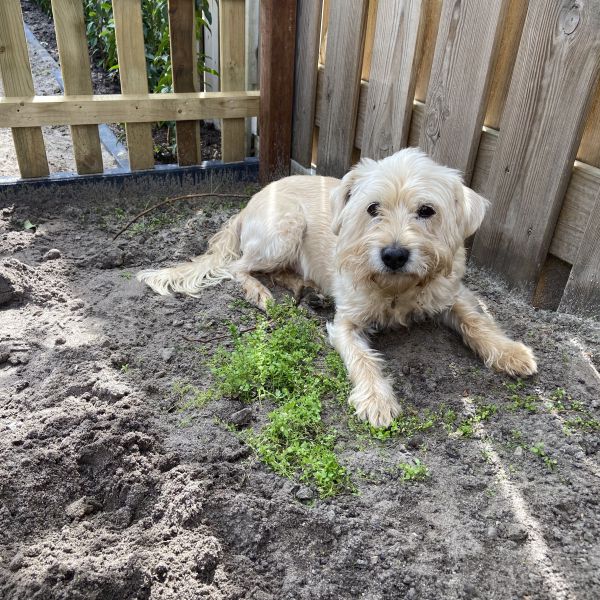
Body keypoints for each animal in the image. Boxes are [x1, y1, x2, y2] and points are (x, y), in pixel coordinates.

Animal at [137, 148, 540, 424]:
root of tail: (250, 202)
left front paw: (510, 352)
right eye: (373, 208)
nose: (394, 254)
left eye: (427, 210)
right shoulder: (346, 322)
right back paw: (260, 293)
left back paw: (306, 288)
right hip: (284, 229)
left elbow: (476, 320)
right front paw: (377, 400)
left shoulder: (450, 293)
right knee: (240, 267)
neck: (396, 288)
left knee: (279, 270)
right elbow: (362, 357)